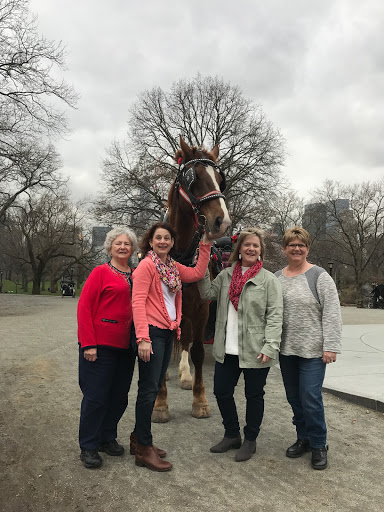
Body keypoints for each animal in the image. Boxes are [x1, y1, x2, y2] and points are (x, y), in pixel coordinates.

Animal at [152, 135, 231, 420]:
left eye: (220, 180)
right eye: (192, 177)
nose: (222, 221)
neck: (181, 255)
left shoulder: (201, 309)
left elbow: (195, 349)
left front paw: (200, 399)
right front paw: (160, 403)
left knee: (185, 339)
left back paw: (185, 374)